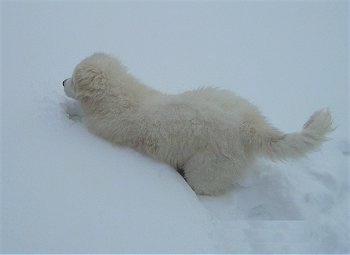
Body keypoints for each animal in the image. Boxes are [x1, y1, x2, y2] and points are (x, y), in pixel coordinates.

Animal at [63, 52, 334, 195]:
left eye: (73, 78)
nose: (62, 82)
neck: (118, 98)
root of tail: (249, 125)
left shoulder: (102, 131)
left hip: (206, 167)